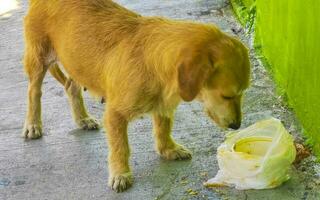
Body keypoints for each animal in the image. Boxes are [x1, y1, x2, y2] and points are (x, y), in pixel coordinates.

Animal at [23, 0, 251, 192]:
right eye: (227, 96)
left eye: (242, 93)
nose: (237, 126)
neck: (151, 59)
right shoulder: (114, 115)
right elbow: (120, 147)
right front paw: (120, 173)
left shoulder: (163, 105)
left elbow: (163, 129)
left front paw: (168, 149)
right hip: (39, 57)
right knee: (34, 92)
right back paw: (33, 124)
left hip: (77, 63)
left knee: (71, 86)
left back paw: (82, 119)